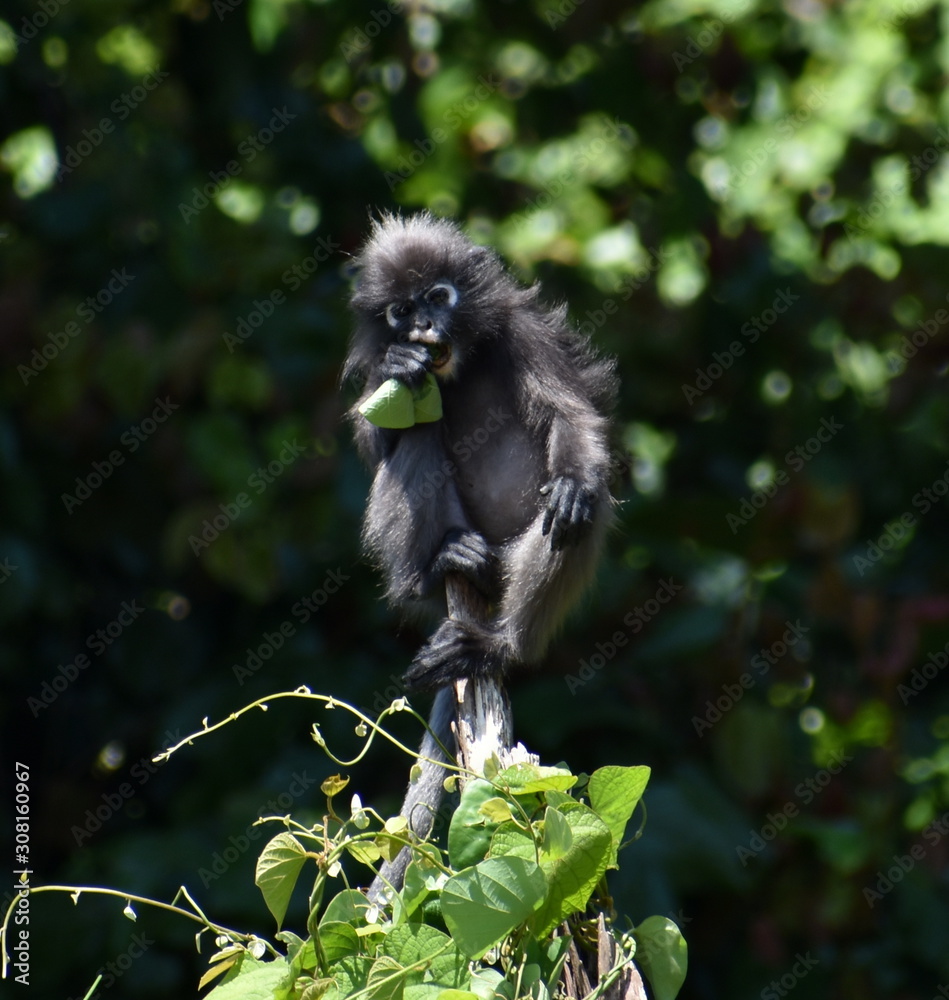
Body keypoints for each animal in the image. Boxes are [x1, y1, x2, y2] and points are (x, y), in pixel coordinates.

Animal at [344, 211, 617, 896]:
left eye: (438, 296)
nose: (421, 328)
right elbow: (379, 436)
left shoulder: (526, 335)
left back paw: (497, 645)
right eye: (401, 310)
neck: (458, 369)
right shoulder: (390, 378)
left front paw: (575, 479)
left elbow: (571, 415)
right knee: (415, 440)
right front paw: (402, 361)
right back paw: (442, 564)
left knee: (574, 519)